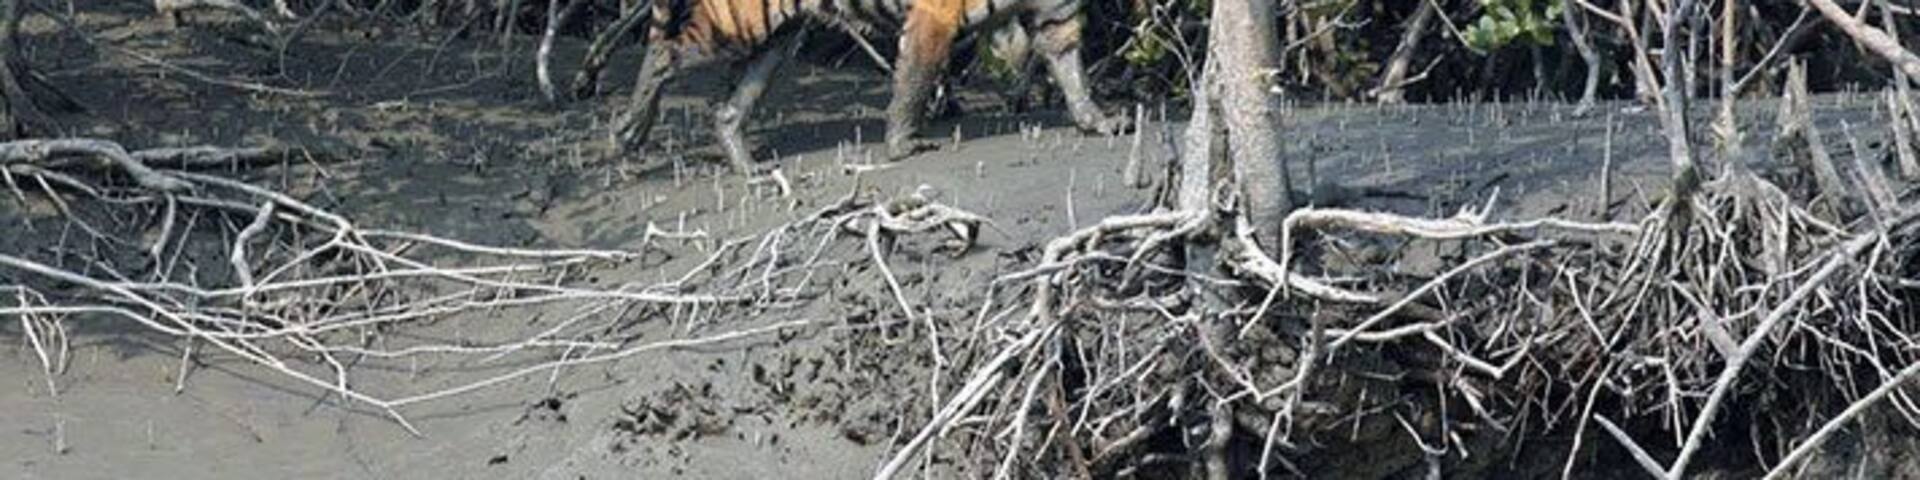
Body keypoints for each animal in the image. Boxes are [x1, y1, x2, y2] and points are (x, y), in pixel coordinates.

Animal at [607, 0, 1132, 173]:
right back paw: (628, 131)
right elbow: (913, 82)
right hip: (739, 24)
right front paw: (903, 146)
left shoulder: (1057, 16)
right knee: (665, 51)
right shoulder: (935, 17)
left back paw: (748, 167)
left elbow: (1072, 72)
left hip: (776, 42)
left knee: (730, 107)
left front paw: (1100, 122)